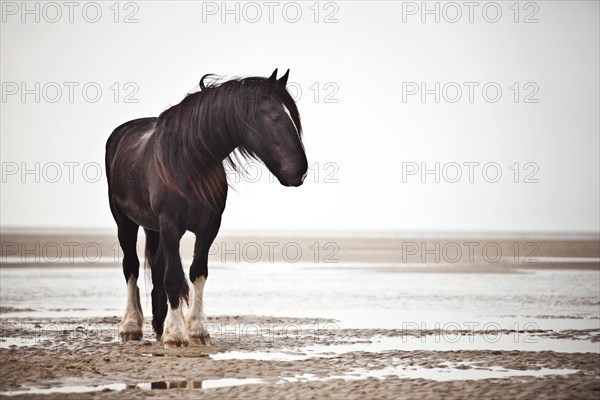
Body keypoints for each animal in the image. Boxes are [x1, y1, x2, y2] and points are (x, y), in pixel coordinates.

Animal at [105, 70, 308, 348]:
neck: (189, 162)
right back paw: (131, 326)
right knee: (132, 267)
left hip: (152, 227)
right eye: (276, 117)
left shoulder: (209, 228)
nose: (300, 171)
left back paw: (158, 325)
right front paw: (175, 334)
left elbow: (197, 273)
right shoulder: (171, 226)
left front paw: (197, 330)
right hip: (124, 222)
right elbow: (173, 276)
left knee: (155, 267)